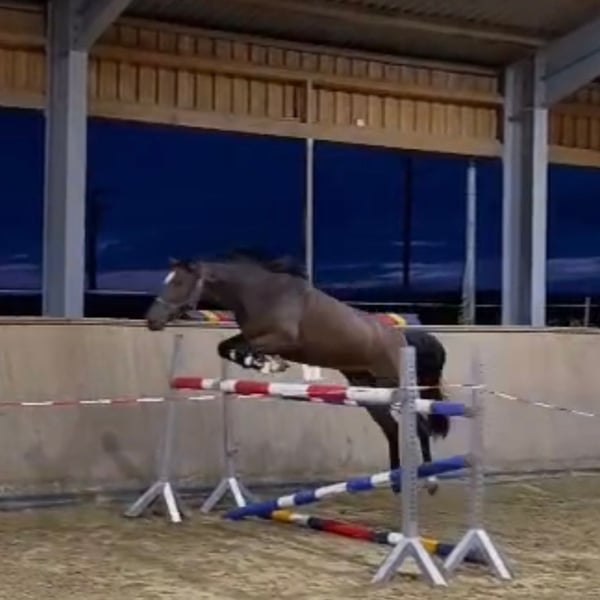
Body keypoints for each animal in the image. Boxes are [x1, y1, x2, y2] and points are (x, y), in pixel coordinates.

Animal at [145, 254, 450, 494]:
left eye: (178, 283)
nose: (152, 320)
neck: (259, 292)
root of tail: (401, 337)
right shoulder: (250, 335)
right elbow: (226, 347)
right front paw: (260, 363)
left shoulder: (281, 340)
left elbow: (248, 347)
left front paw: (267, 363)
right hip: (368, 390)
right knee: (391, 429)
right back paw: (396, 482)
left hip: (395, 385)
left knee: (419, 427)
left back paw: (430, 481)